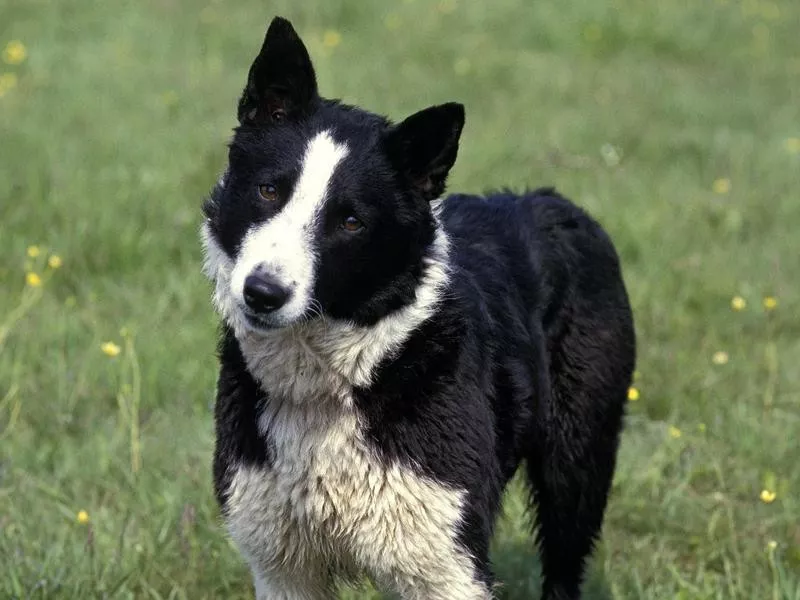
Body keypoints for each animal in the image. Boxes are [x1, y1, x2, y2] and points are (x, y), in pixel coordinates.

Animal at [203, 15, 636, 600]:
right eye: (269, 191)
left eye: (351, 222)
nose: (263, 293)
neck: (337, 388)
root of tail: (554, 200)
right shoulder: (282, 564)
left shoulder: (444, 562)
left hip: (577, 461)